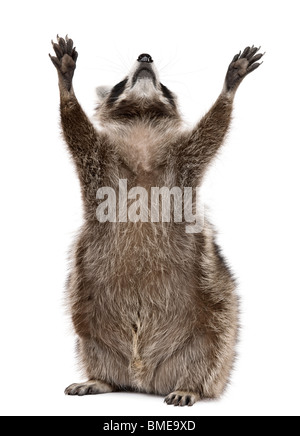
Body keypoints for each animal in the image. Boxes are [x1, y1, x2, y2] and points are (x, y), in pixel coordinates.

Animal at [49, 36, 262, 406]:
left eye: (163, 86)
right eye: (123, 81)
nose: (146, 56)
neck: (142, 123)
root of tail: (144, 379)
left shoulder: (183, 160)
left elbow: (212, 132)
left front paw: (229, 89)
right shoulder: (98, 158)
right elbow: (76, 130)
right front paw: (66, 87)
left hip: (216, 317)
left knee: (212, 348)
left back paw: (190, 385)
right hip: (87, 314)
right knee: (89, 341)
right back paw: (101, 378)